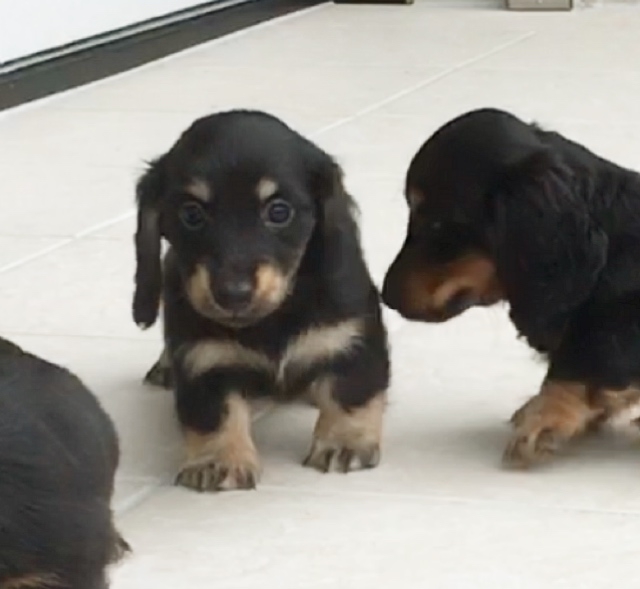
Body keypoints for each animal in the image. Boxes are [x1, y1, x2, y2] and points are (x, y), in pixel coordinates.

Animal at [132, 109, 390, 492]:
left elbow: (350, 392)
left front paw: (344, 442)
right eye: (191, 214)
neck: (272, 319)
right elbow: (215, 414)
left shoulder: (351, 338)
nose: (232, 293)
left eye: (279, 211)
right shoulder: (203, 360)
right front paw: (218, 460)